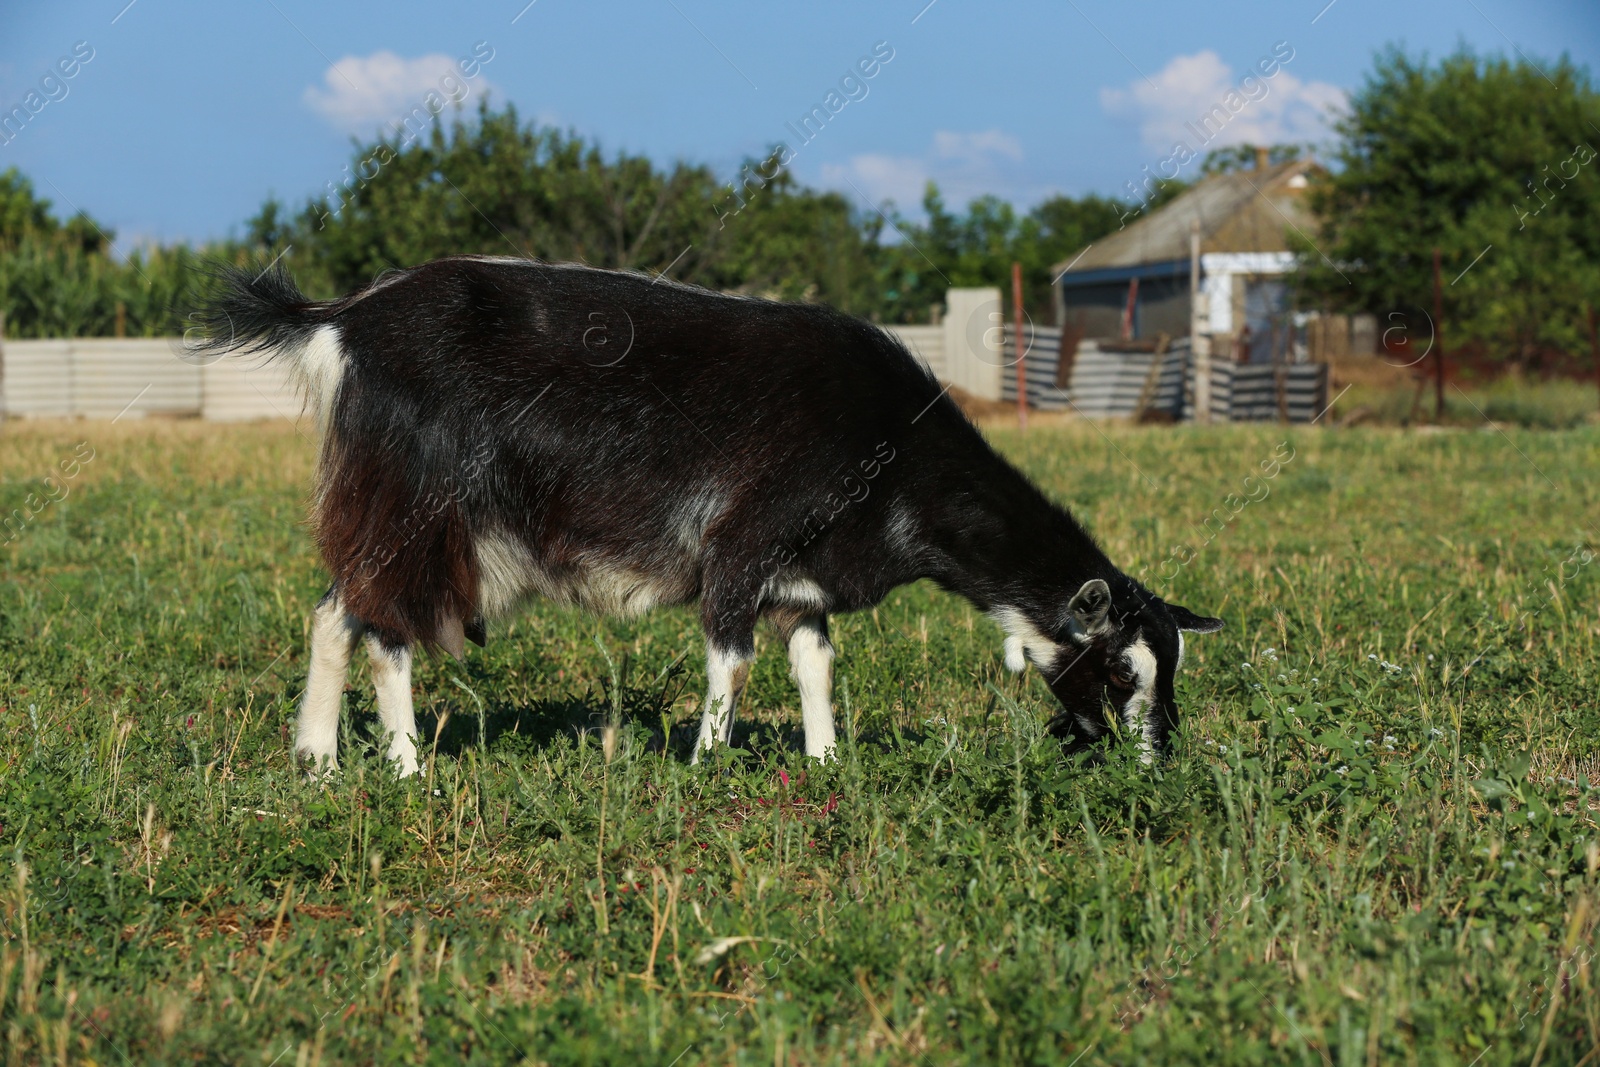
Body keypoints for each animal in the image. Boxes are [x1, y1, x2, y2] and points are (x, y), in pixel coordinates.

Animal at [200, 259, 1222, 777]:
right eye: (1122, 671)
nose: (1157, 763)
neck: (892, 449)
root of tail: (340, 319)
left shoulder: (806, 580)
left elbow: (814, 664)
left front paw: (825, 763)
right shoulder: (742, 545)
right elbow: (731, 661)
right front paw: (704, 768)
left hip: (385, 509)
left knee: (334, 612)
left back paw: (319, 760)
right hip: (419, 506)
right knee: (386, 630)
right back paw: (409, 767)